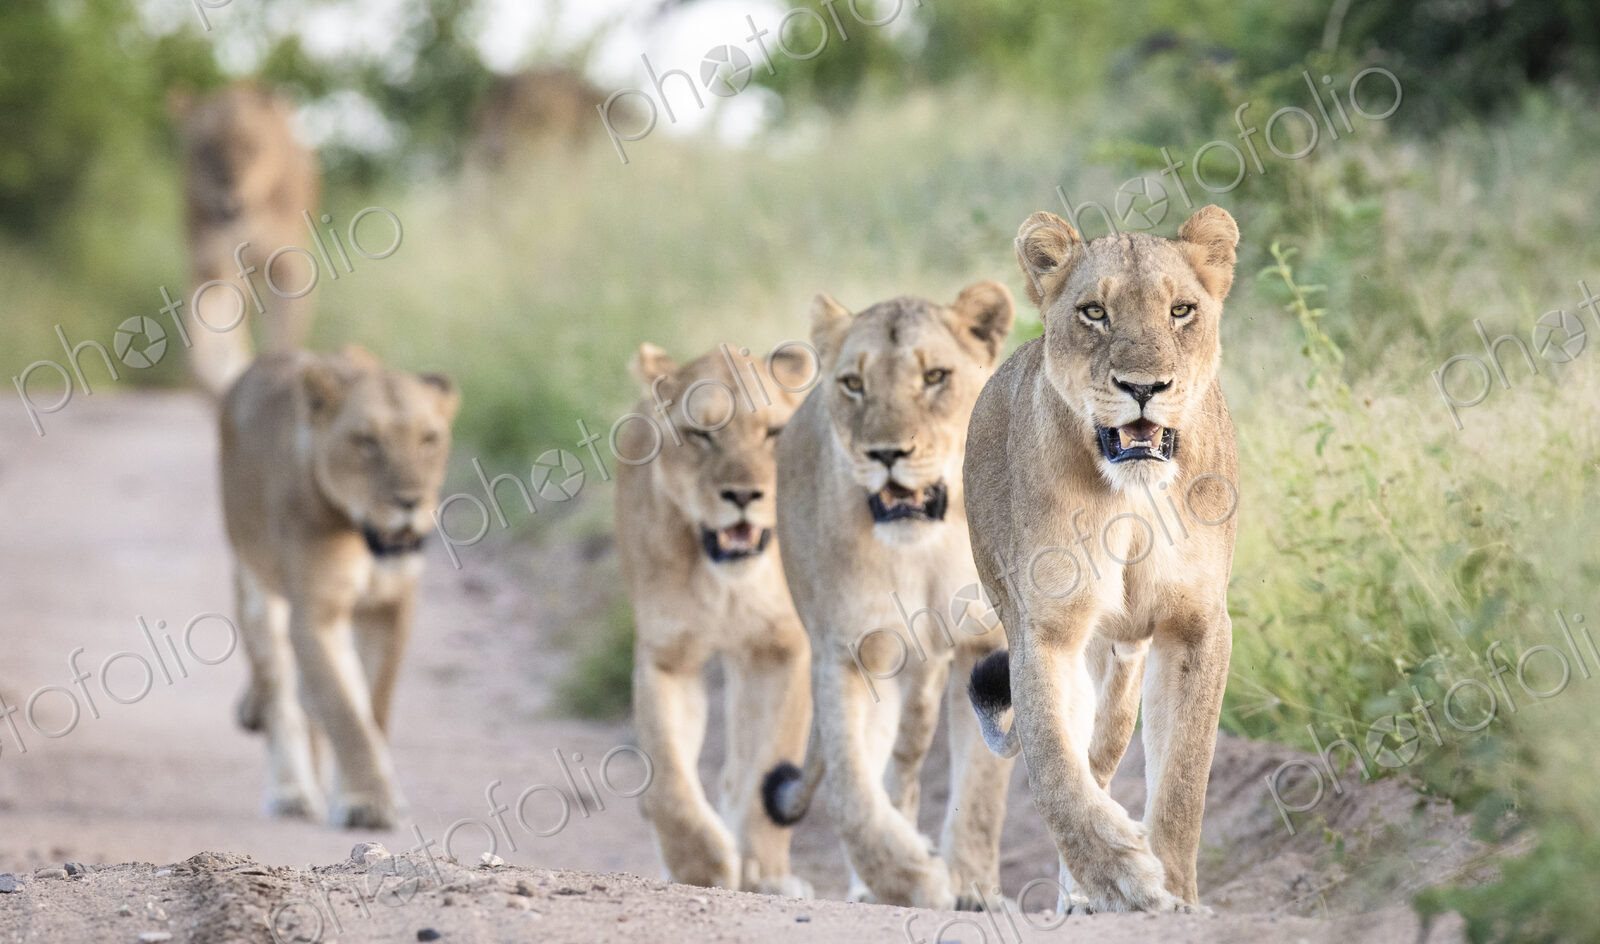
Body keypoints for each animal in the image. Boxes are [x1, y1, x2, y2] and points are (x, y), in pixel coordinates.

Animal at [173, 82, 320, 398]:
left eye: (251, 148)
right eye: (207, 151)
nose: (229, 203)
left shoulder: (289, 266)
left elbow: (282, 337)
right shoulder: (211, 266)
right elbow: (204, 354)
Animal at [220, 346, 459, 829]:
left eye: (429, 439)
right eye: (366, 441)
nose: (410, 502)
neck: (360, 534)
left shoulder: (391, 608)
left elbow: (372, 707)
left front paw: (364, 792)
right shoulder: (314, 614)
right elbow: (346, 714)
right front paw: (369, 802)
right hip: (256, 589)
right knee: (282, 696)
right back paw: (291, 792)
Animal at [616, 342, 816, 896]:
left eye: (772, 433)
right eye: (701, 435)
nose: (743, 496)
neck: (727, 582)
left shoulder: (780, 650)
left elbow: (768, 763)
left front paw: (765, 875)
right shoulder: (668, 656)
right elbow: (668, 775)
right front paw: (701, 866)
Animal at [760, 284, 1017, 909]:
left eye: (936, 377)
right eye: (854, 383)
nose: (886, 454)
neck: (921, 546)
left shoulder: (986, 646)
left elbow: (981, 791)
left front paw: (973, 887)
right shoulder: (849, 652)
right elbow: (852, 789)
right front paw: (911, 878)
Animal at [963, 206, 1241, 913]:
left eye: (1180, 310)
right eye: (1094, 312)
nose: (1144, 388)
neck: (1134, 495)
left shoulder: (1197, 625)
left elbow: (1184, 778)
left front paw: (1176, 893)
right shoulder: (1046, 630)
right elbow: (1055, 770)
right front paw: (1118, 876)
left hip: (1123, 671)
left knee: (1103, 753)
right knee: (1078, 762)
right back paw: (1082, 895)